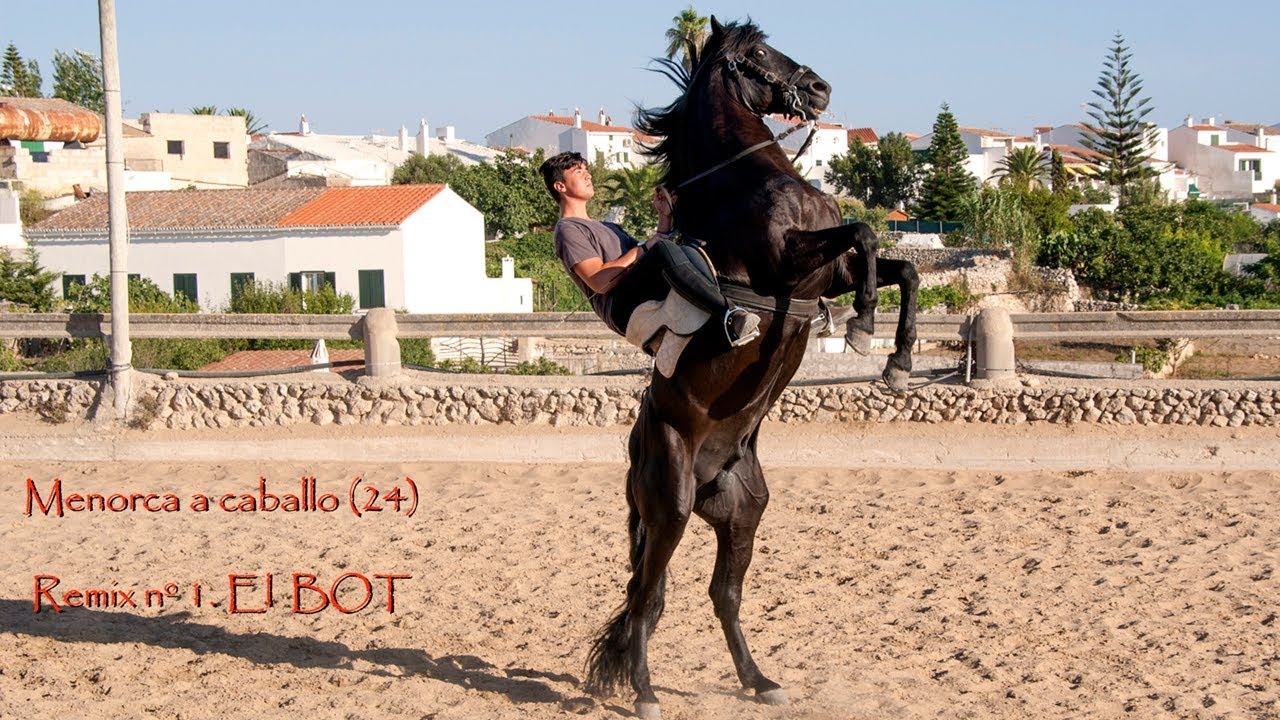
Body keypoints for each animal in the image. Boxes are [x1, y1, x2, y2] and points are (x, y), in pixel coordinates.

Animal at [582, 17, 920, 719]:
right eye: (758, 53)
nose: (819, 90)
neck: (748, 178)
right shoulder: (792, 263)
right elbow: (869, 234)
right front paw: (863, 327)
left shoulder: (826, 272)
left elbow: (901, 265)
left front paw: (897, 360)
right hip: (671, 508)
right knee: (646, 598)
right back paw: (647, 694)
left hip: (743, 512)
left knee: (721, 595)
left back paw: (759, 681)